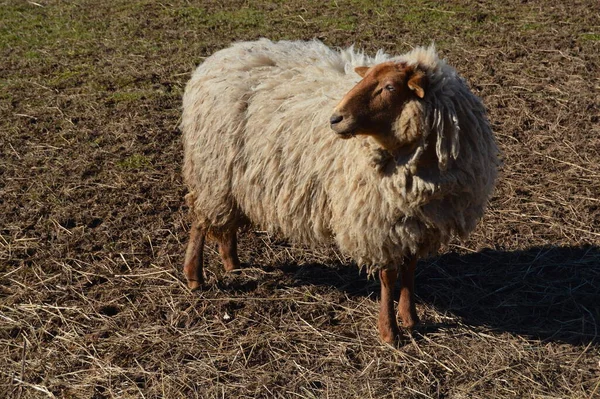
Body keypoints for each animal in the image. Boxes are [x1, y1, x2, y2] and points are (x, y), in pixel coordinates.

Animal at [180, 39, 500, 344]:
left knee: (225, 221)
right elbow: (388, 276)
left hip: (230, 179)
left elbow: (410, 269)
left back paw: (232, 264)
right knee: (199, 221)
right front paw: (389, 332)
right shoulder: (379, 222)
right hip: (210, 170)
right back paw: (194, 277)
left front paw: (410, 319)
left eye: (390, 87)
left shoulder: (418, 222)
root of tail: (218, 58)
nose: (335, 119)